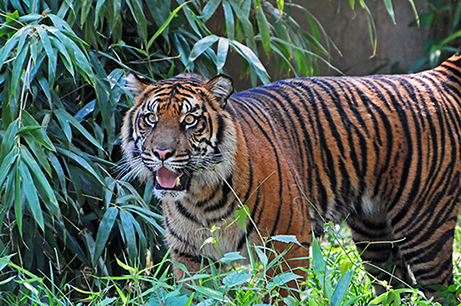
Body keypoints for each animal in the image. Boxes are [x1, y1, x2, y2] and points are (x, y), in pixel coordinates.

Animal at [120, 50, 460, 302]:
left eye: (189, 120)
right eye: (150, 119)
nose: (161, 152)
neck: (201, 197)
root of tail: (430, 77)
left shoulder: (288, 244)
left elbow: (281, 295)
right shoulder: (190, 257)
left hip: (425, 229)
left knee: (443, 291)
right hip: (374, 235)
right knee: (394, 288)